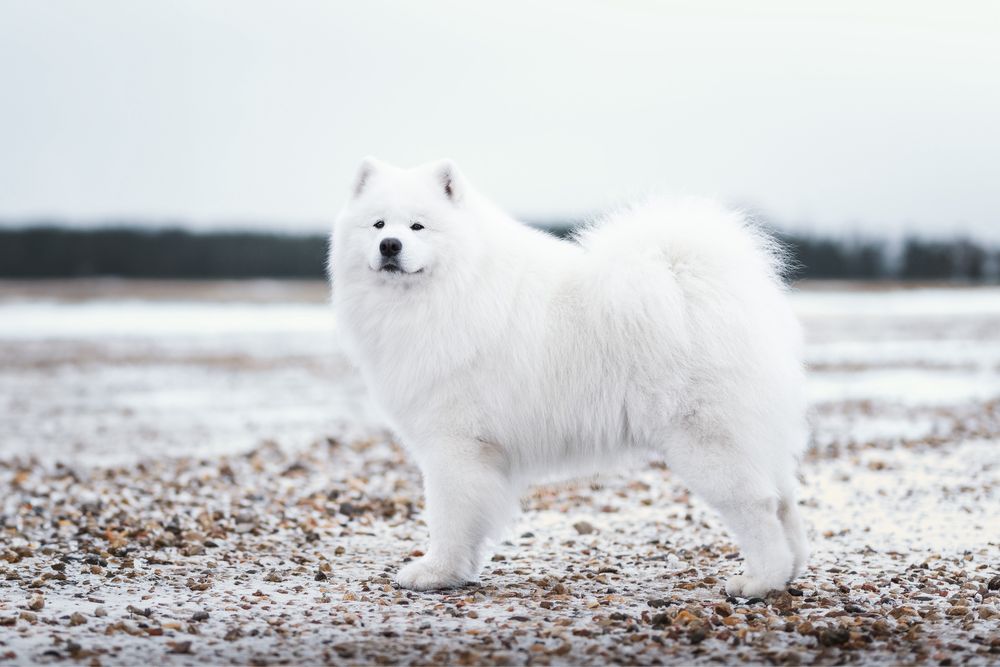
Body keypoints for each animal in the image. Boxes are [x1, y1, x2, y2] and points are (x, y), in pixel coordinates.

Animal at [332, 159, 808, 596]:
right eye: (378, 224)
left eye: (418, 226)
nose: (390, 245)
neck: (449, 291)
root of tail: (694, 279)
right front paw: (458, 571)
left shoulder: (455, 445)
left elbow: (448, 517)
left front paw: (435, 572)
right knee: (785, 501)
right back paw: (790, 571)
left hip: (706, 443)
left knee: (759, 505)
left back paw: (759, 582)